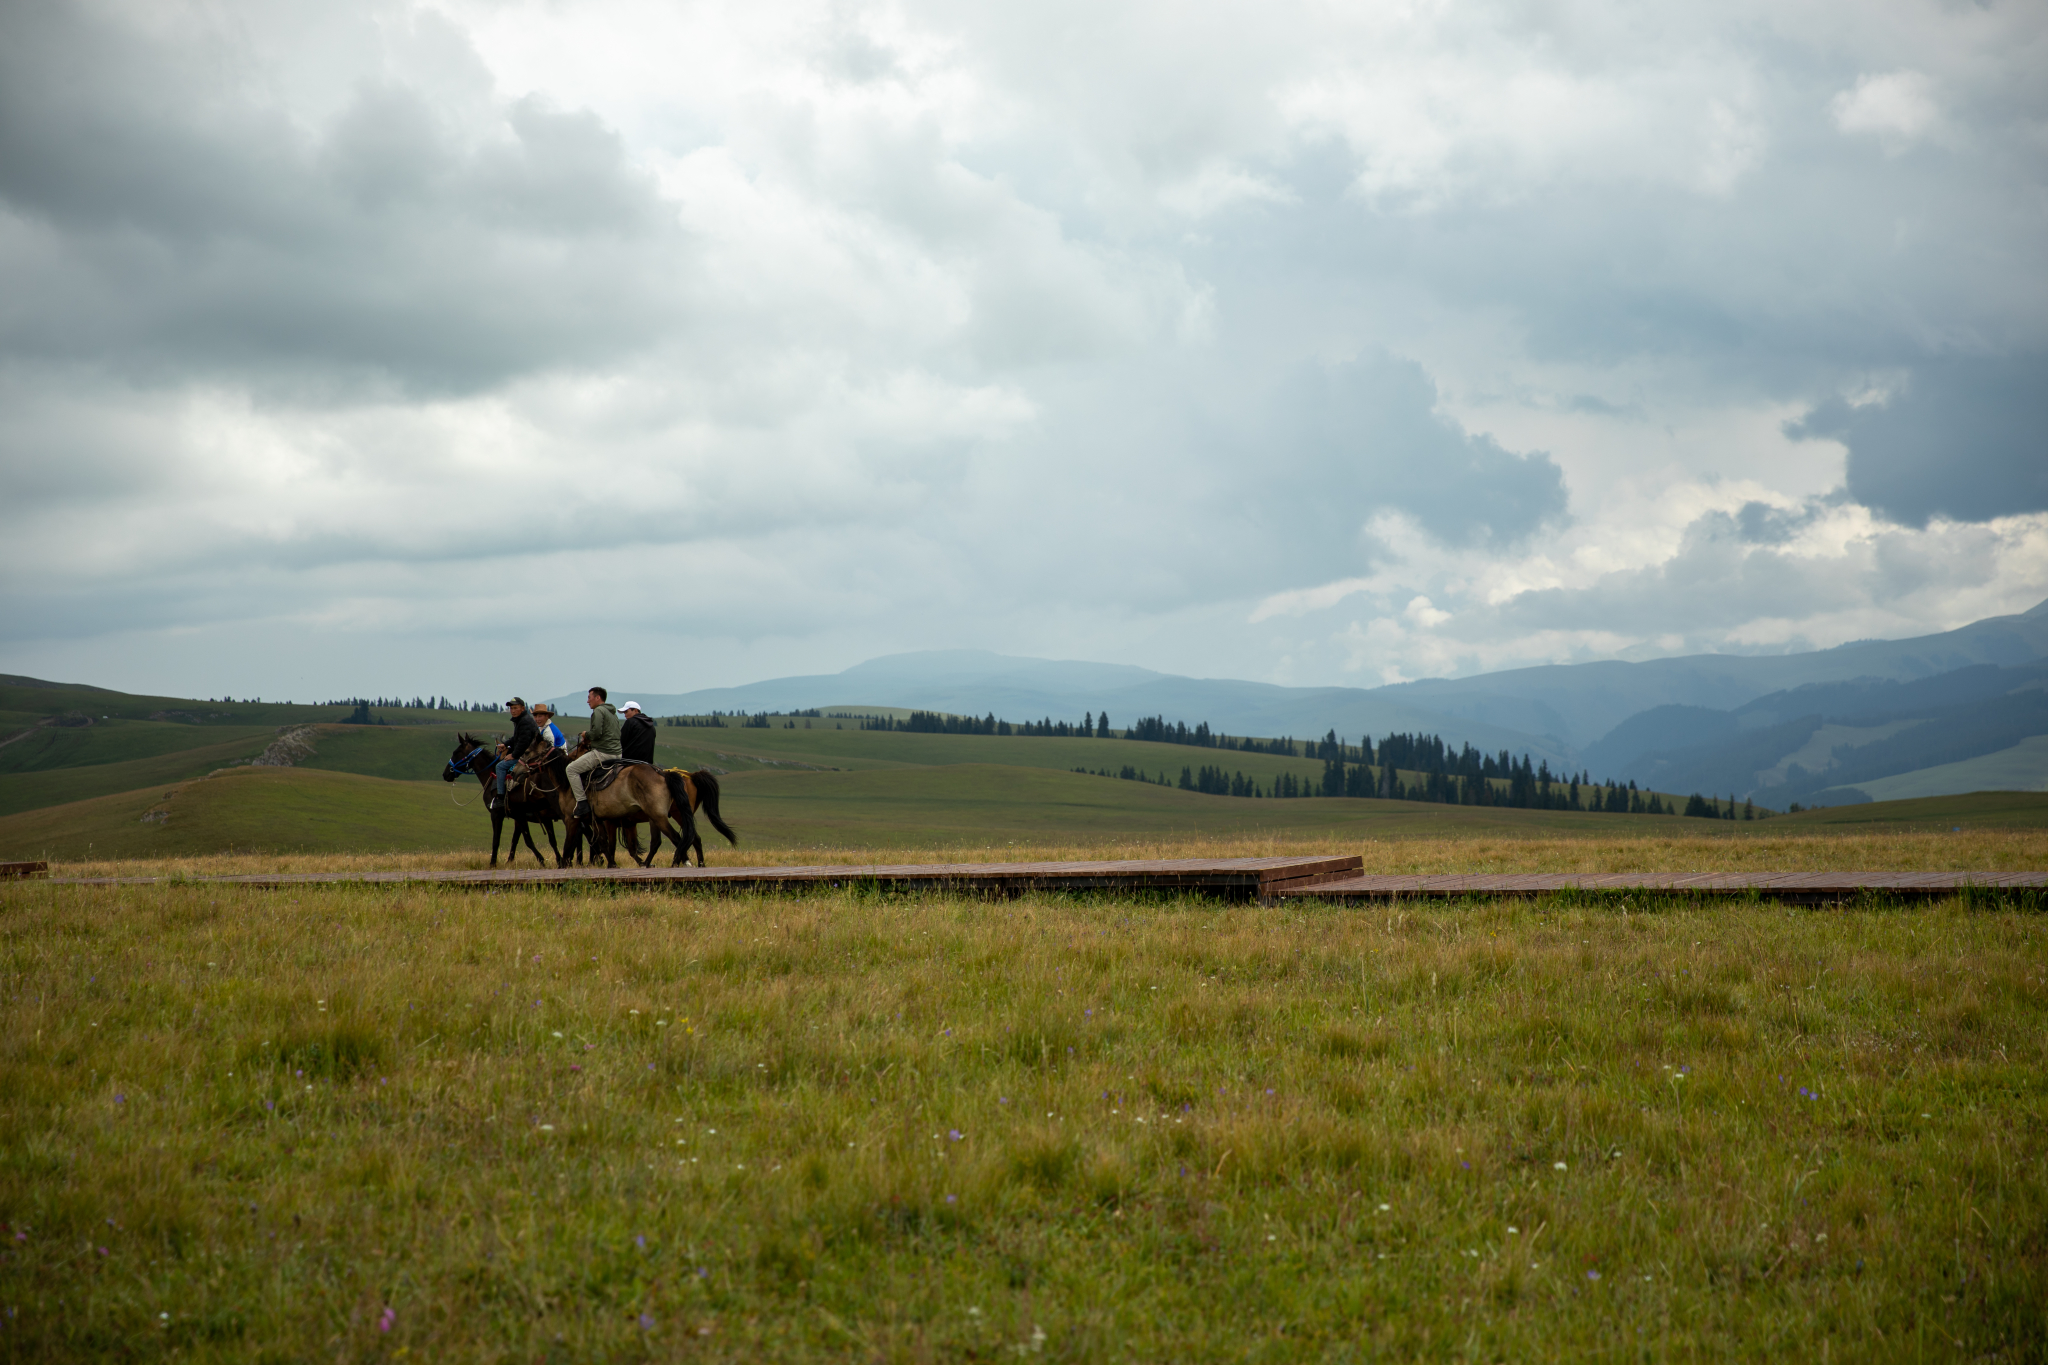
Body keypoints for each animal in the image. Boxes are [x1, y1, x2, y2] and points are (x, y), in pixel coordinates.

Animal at [440, 732, 569, 871]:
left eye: (456, 752)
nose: (445, 774)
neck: (492, 776)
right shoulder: (523, 817)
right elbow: (526, 839)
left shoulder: (498, 814)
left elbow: (500, 840)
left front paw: (493, 863)